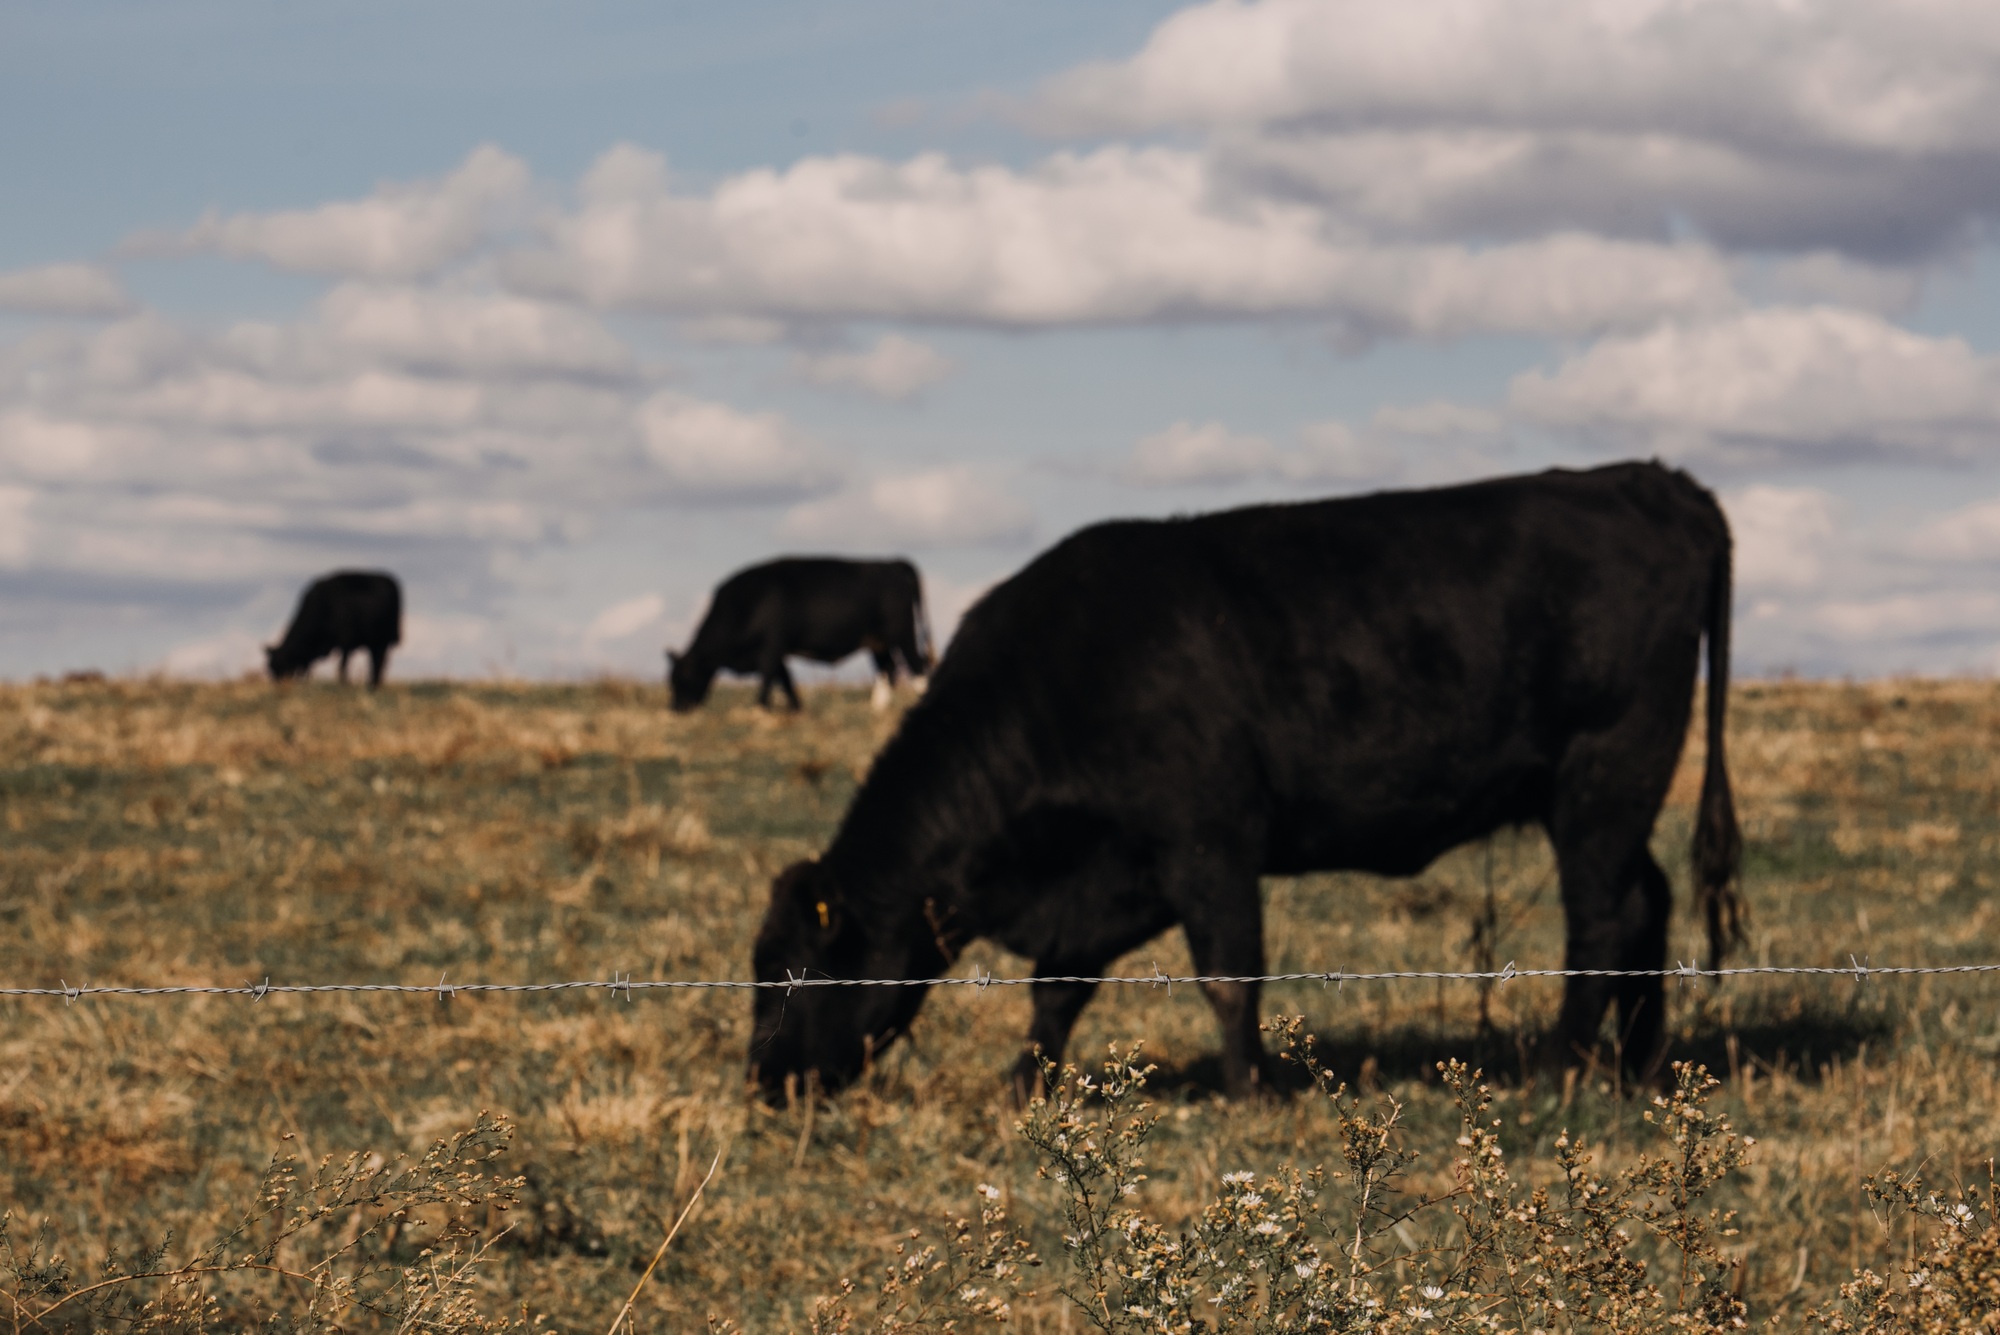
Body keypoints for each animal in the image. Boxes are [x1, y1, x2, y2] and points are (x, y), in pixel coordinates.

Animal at [266, 571, 402, 689]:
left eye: (281, 667)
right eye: (271, 670)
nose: (279, 686)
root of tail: (391, 582)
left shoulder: (345, 641)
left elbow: (342, 665)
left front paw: (344, 683)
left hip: (383, 641)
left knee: (377, 663)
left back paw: (372, 685)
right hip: (375, 643)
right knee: (376, 662)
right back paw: (371, 685)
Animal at [668, 557, 933, 713]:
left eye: (684, 677)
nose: (676, 709)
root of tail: (889, 564)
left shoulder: (771, 646)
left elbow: (768, 678)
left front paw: (759, 709)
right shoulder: (778, 652)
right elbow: (785, 680)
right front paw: (795, 708)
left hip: (902, 633)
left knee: (917, 666)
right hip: (877, 641)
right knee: (887, 669)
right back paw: (877, 708)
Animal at [747, 462, 1743, 1103]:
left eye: (787, 970)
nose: (762, 1082)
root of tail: (1653, 479)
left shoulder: (1208, 838)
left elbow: (1229, 974)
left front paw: (1250, 1089)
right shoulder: (1110, 876)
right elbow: (1057, 988)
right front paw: (1025, 1082)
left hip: (1606, 769)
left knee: (1601, 918)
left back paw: (1560, 1070)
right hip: (1603, 791)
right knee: (1646, 901)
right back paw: (1638, 1069)